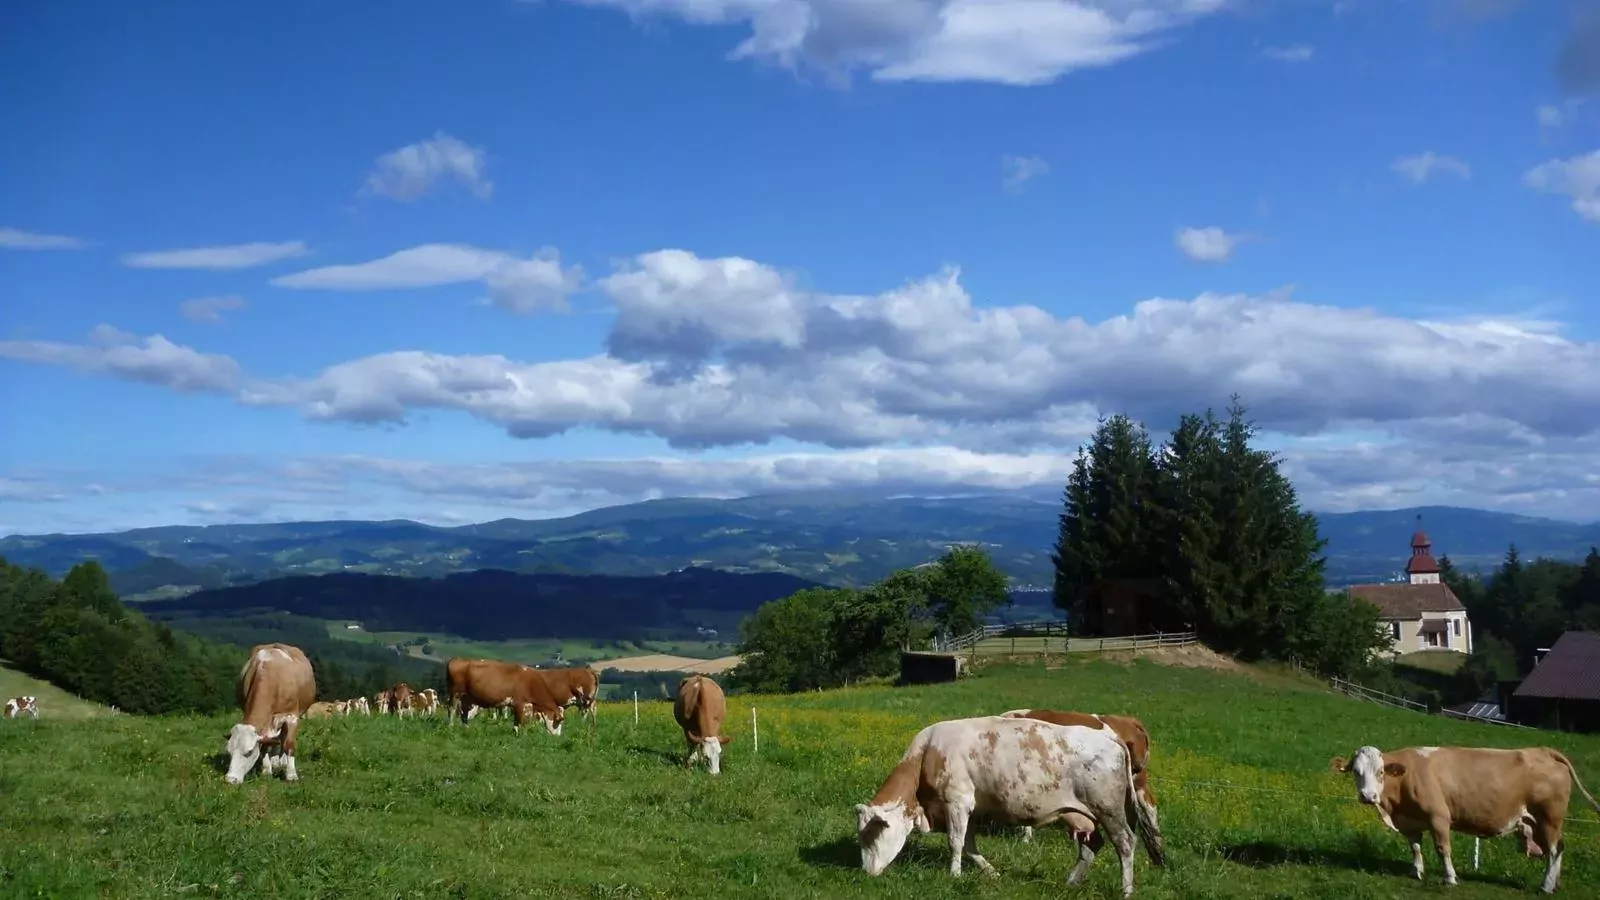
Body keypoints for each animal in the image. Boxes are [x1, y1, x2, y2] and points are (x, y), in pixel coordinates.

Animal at [224, 642, 316, 785]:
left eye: (249, 752)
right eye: (229, 752)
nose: (230, 779)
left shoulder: (292, 717)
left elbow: (289, 744)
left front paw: (291, 775)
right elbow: (265, 744)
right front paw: (266, 770)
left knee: (283, 738)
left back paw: (282, 762)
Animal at [1332, 744, 1600, 893]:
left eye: (1380, 772)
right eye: (1356, 772)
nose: (1368, 796)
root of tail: (1544, 751)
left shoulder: (1439, 817)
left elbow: (1443, 849)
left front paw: (1450, 878)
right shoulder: (1410, 822)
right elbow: (1415, 847)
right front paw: (1417, 872)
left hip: (1550, 818)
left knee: (1555, 850)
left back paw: (1546, 886)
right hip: (1538, 822)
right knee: (1555, 851)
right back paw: (1555, 884)